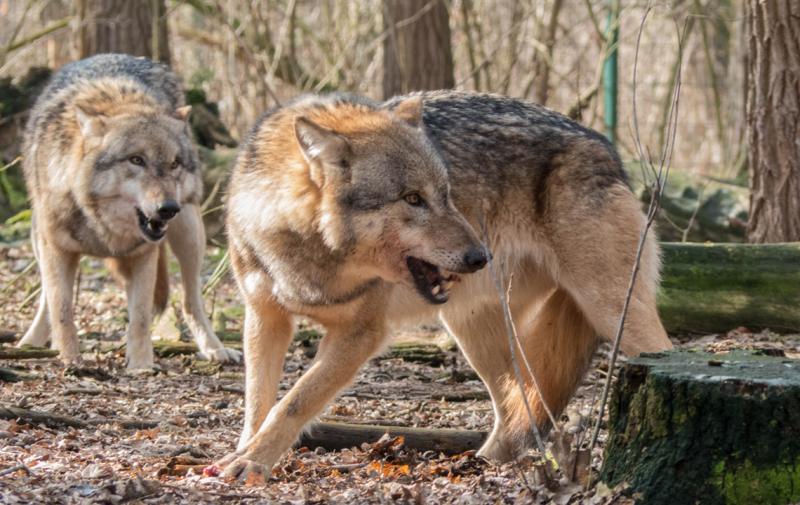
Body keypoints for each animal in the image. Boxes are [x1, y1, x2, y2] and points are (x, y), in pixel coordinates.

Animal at [17, 55, 239, 368]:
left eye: (174, 164)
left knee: (190, 300)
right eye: (136, 160)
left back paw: (214, 349)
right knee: (46, 300)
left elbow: (142, 317)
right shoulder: (57, 250)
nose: (168, 208)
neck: (101, 225)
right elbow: (61, 309)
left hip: (190, 234)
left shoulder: (144, 254)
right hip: (38, 239)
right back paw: (31, 343)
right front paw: (71, 360)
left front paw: (141, 366)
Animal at [216, 91, 672, 480]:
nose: (479, 256)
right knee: (517, 404)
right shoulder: (264, 318)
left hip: (614, 313)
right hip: (474, 330)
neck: (309, 252)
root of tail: (605, 147)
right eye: (413, 199)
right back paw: (485, 465)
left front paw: (252, 462)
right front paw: (244, 454)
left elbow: (294, 401)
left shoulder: (361, 334)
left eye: (447, 193)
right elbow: (258, 402)